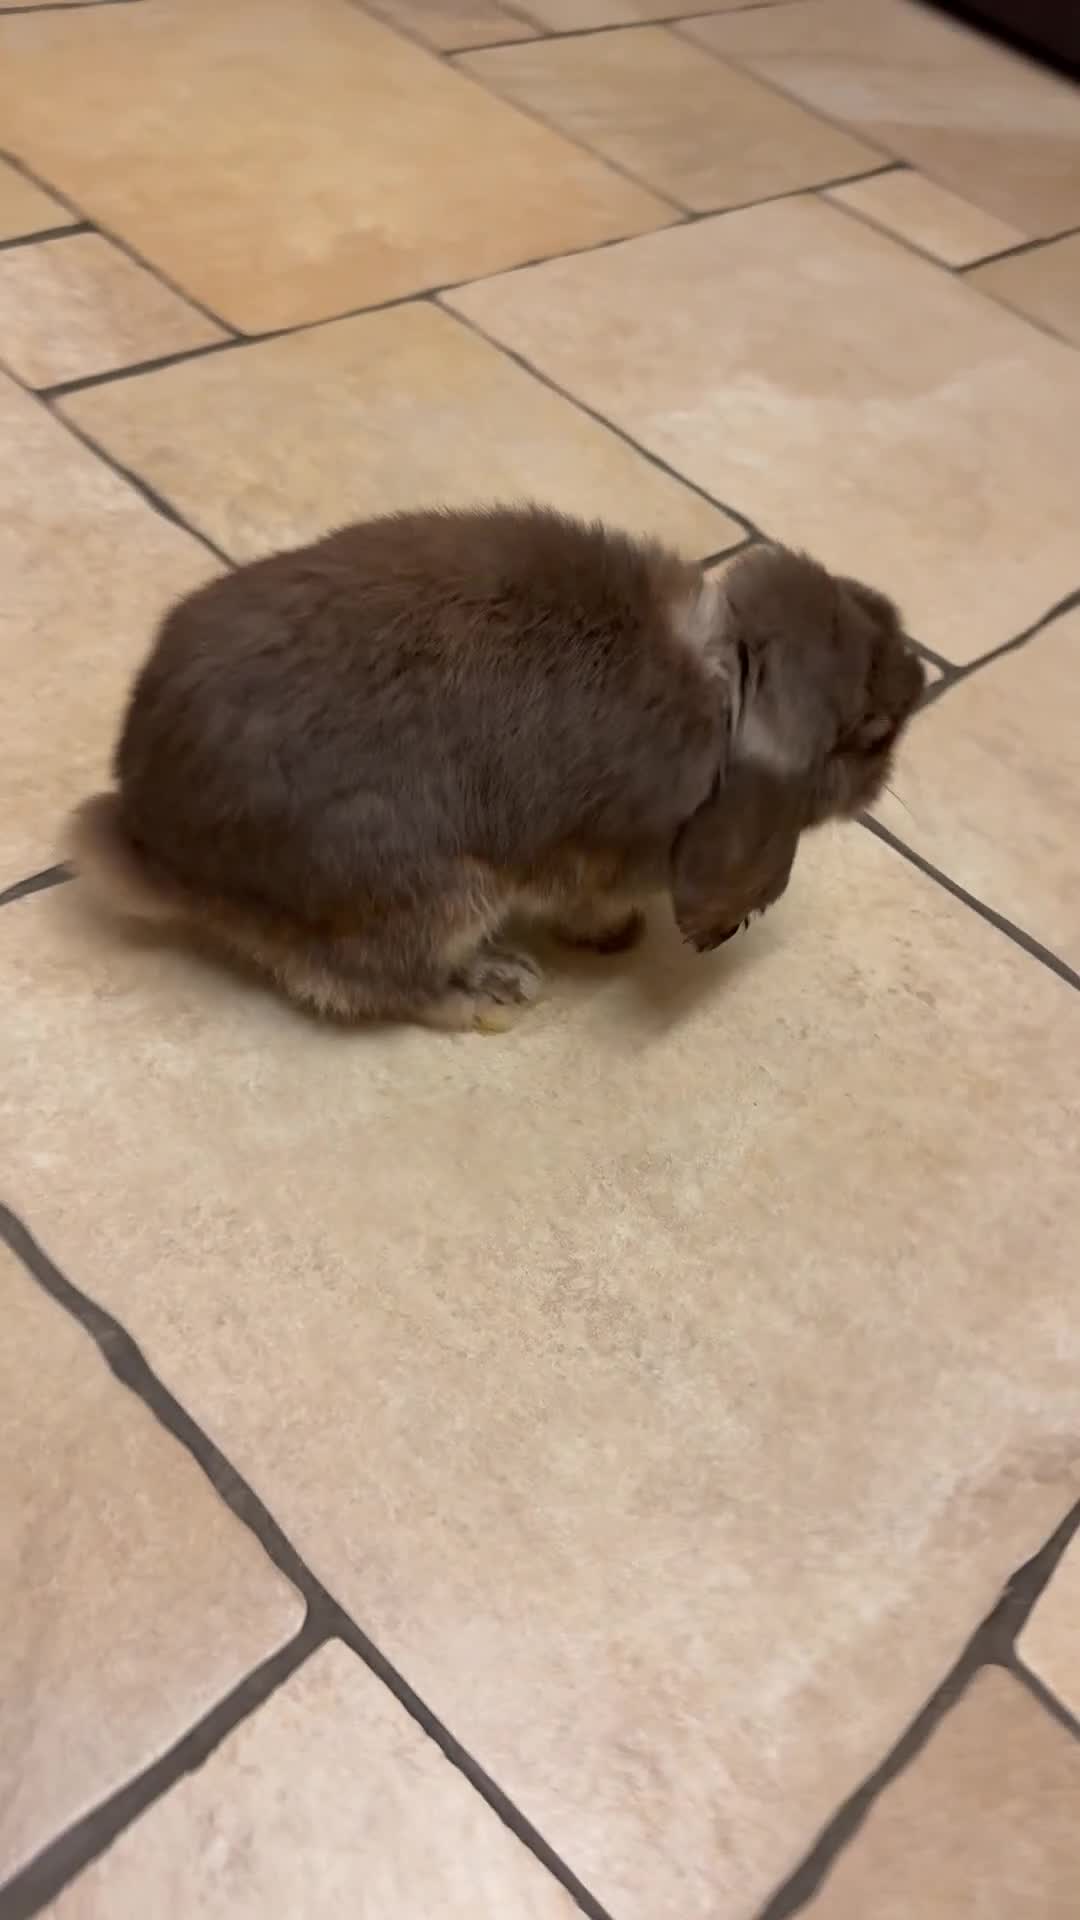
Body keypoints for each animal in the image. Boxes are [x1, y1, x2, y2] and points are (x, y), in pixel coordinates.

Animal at [67, 506, 925, 1031]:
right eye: (872, 732)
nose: (919, 676)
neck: (722, 678)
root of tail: (155, 849)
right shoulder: (594, 860)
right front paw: (616, 935)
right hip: (437, 896)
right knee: (373, 986)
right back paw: (493, 989)